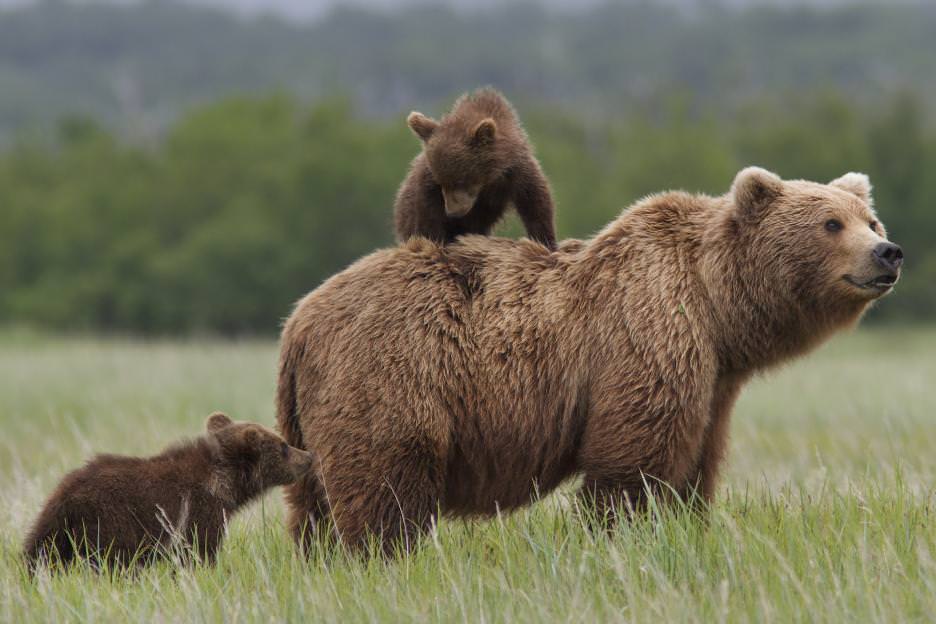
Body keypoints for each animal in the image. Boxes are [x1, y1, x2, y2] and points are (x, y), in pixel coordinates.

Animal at [276, 168, 900, 552]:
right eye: (830, 223)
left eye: (870, 220)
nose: (887, 253)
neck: (717, 308)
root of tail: (299, 320)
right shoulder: (647, 335)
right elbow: (633, 461)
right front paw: (618, 535)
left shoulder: (714, 381)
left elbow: (696, 464)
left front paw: (687, 526)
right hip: (393, 372)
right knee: (386, 486)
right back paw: (382, 556)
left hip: (313, 412)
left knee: (312, 502)